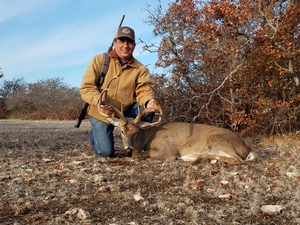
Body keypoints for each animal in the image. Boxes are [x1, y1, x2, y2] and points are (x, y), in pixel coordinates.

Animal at [98, 89, 258, 165]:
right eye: (122, 131)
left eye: (136, 131)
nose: (128, 149)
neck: (146, 137)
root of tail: (247, 146)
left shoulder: (167, 150)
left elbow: (140, 155)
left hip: (218, 139)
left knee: (237, 159)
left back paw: (197, 157)